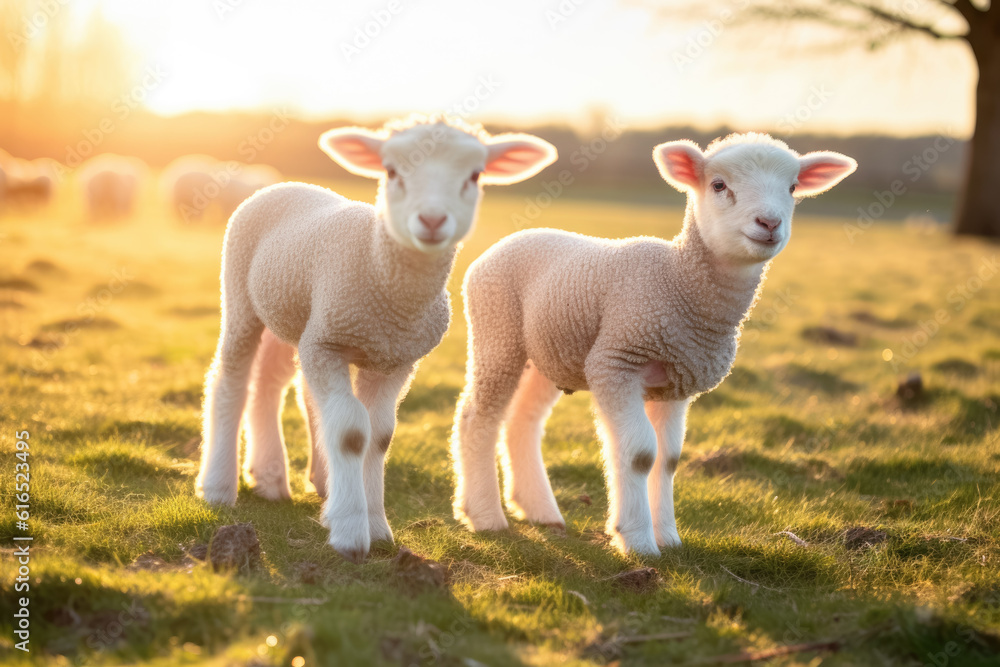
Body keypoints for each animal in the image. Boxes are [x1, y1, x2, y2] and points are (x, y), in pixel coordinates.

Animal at [195, 116, 557, 563]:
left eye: (475, 175)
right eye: (391, 171)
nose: (432, 220)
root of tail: (285, 184)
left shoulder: (395, 360)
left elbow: (380, 435)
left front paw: (378, 527)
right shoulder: (328, 343)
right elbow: (352, 432)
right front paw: (351, 532)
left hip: (289, 313)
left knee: (270, 385)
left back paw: (273, 479)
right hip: (242, 299)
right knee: (230, 379)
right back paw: (217, 487)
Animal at [451, 132, 856, 556]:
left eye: (792, 188)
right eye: (719, 185)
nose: (770, 223)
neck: (680, 281)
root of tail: (506, 241)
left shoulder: (676, 383)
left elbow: (667, 459)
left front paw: (670, 538)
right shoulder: (616, 362)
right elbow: (639, 454)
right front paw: (638, 540)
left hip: (550, 352)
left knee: (522, 421)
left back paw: (539, 510)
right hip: (497, 330)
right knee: (477, 415)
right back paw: (484, 516)